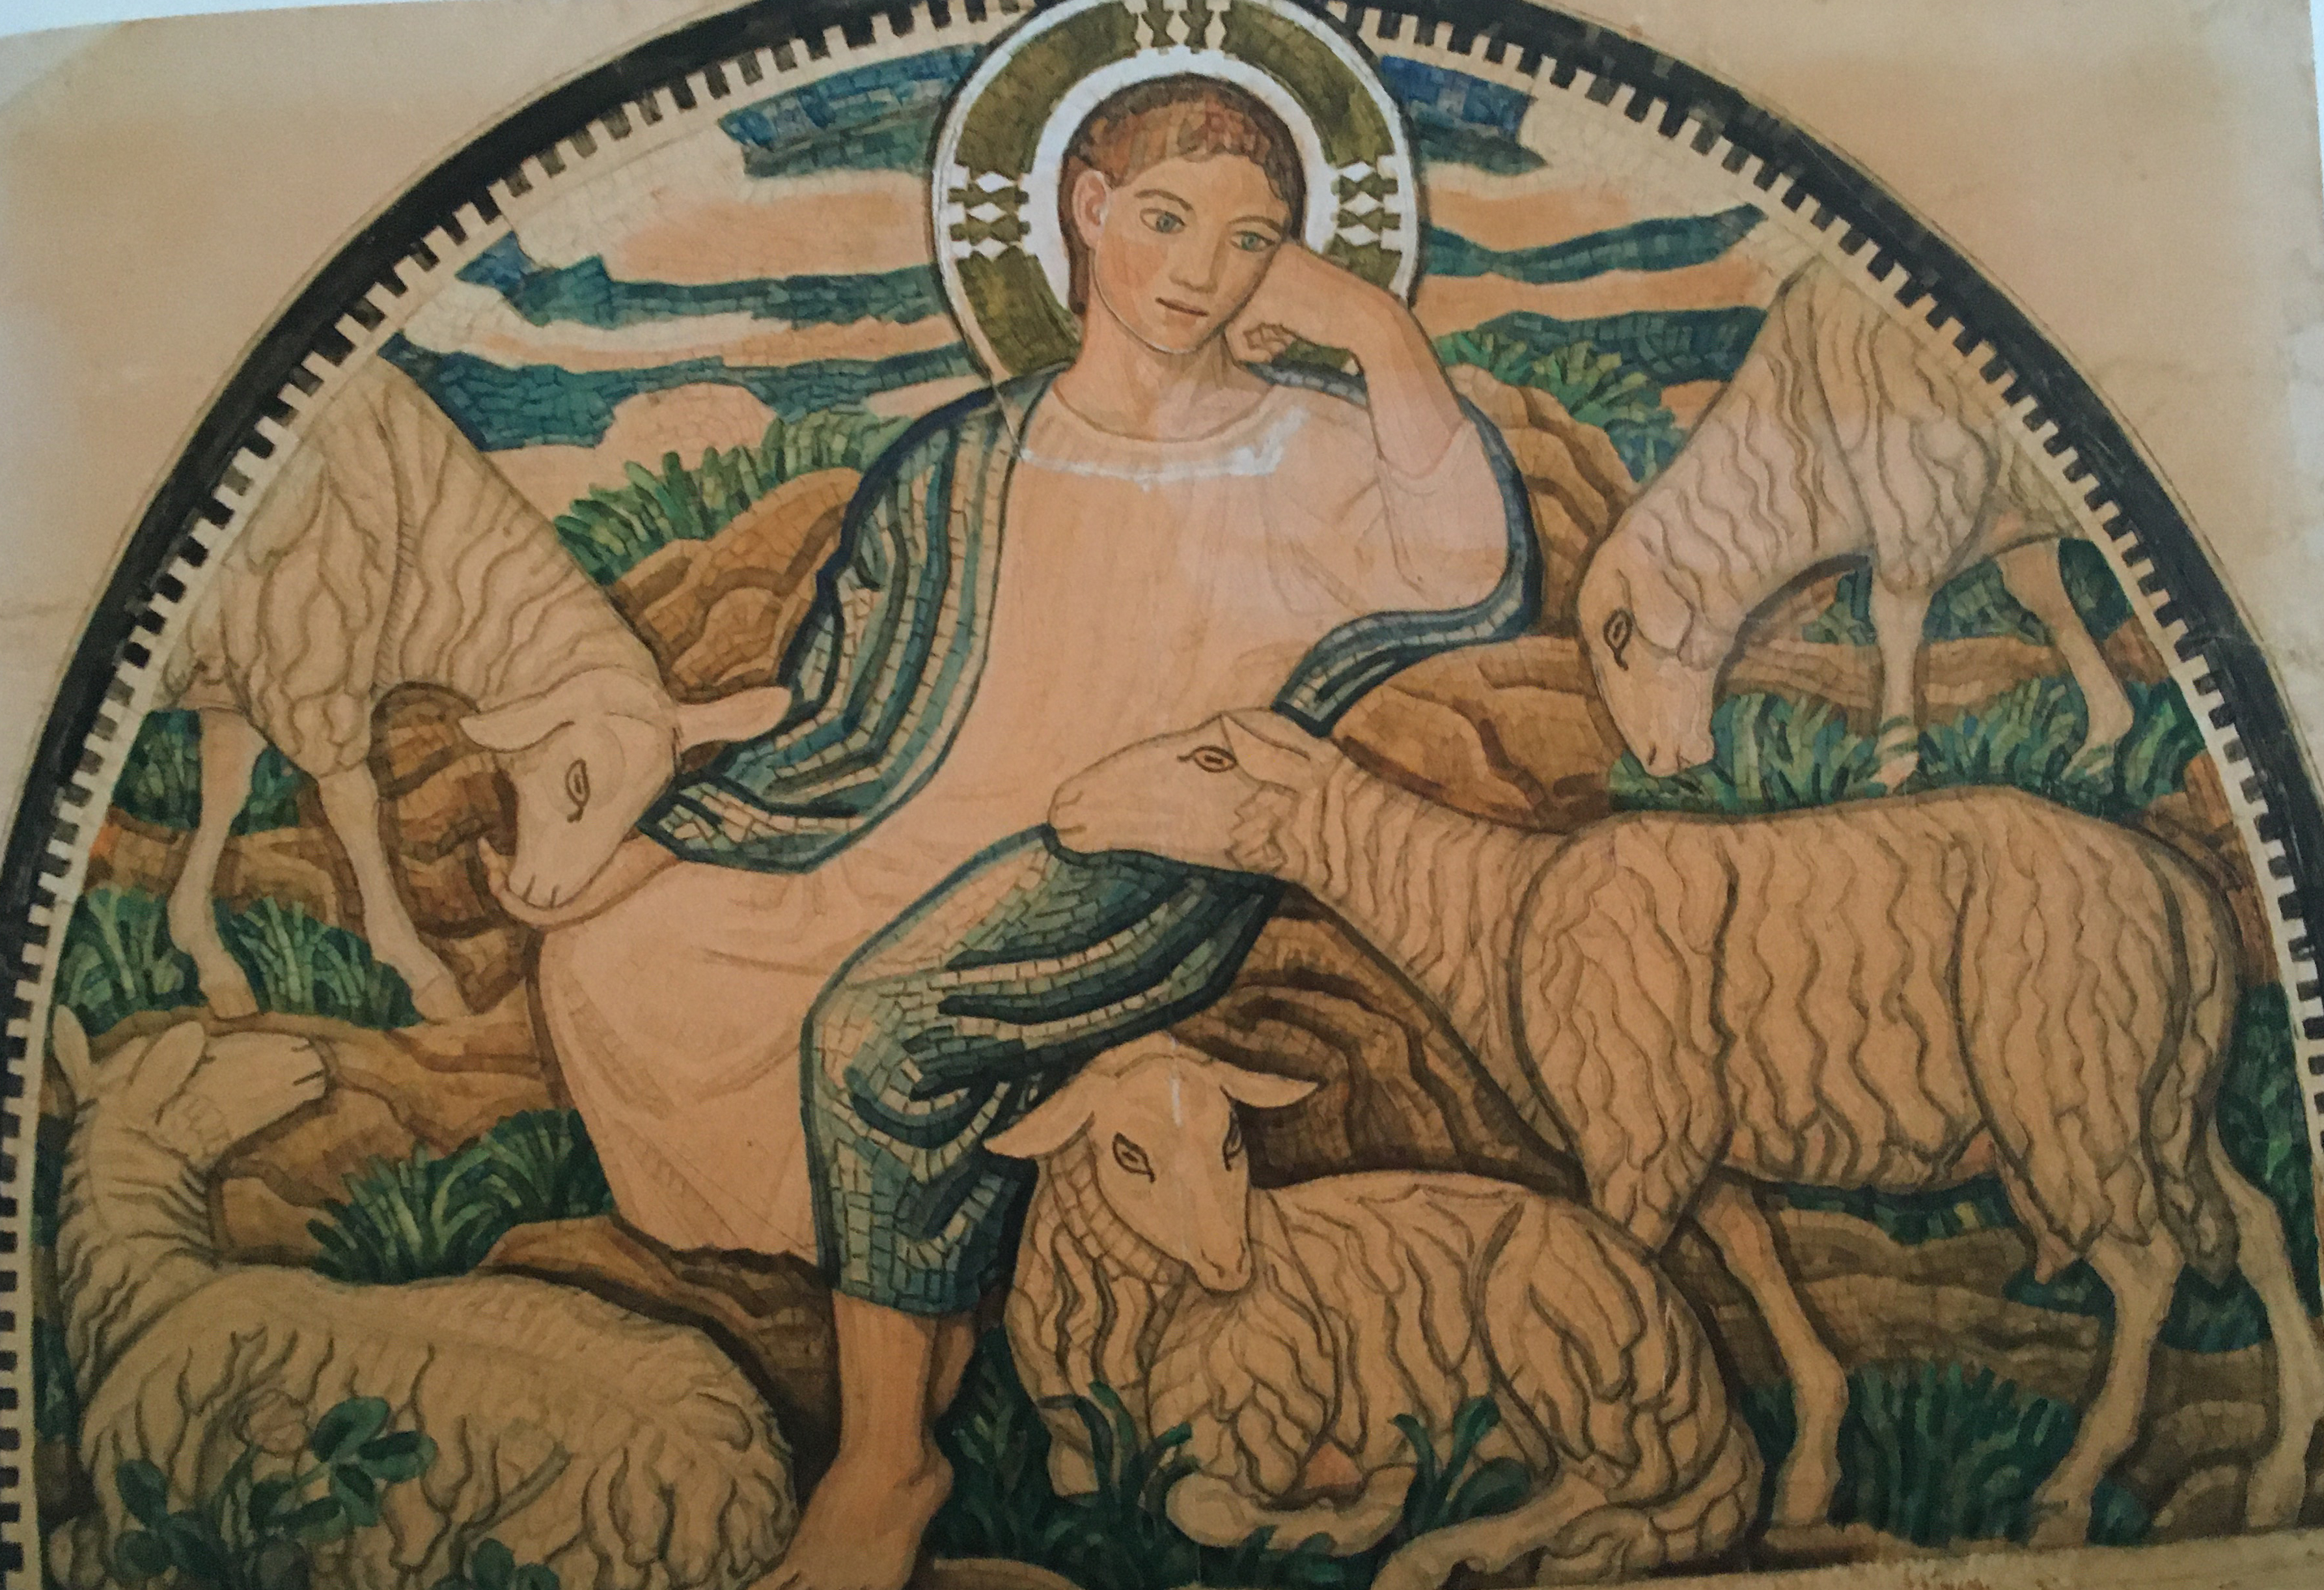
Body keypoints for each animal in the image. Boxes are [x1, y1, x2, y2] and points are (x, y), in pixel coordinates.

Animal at [41, 1005, 799, 1589]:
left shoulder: (150, 1531)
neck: (149, 1285)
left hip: (548, 1559)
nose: (303, 1052)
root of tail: (756, 1493)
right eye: (203, 1058)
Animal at [160, 359, 787, 1020]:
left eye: (646, 806)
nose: (543, 895)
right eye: (579, 781)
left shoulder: (242, 681)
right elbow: (355, 807)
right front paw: (424, 975)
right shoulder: (307, 673)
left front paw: (208, 958)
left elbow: (222, 793)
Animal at [985, 1036, 1760, 1590]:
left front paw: (1349, 1516)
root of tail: (1713, 1392)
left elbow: (1194, 1505)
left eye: (1232, 1140)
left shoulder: (1251, 1427)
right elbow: (1110, 1493)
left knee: (1595, 1484)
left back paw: (1433, 1557)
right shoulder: (1078, 1457)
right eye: (1128, 1153)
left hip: (1566, 1337)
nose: (1233, 1266)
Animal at [1048, 709, 2324, 1551]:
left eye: (1212, 759)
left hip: (2065, 1084)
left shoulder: (1636, 1139)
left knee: (2149, 1265)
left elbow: (1622, 1289)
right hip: (2162, 1096)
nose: (1063, 808)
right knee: (2261, 1224)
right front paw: (1806, 1479)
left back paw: (2067, 1495)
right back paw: (2275, 1477)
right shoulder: (1700, 1153)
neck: (1488, 907)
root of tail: (2186, 893)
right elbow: (1760, 1275)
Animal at [1574, 257, 2133, 789]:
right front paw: (2101, 745)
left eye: (1618, 638)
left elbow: (1893, 623)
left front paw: (1890, 767)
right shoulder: (2014, 536)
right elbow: (2050, 606)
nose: (1657, 761)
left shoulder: (1919, 507)